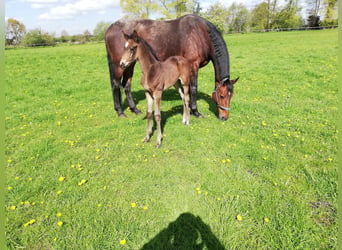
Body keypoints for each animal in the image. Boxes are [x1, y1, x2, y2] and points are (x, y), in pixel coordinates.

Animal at [105, 13, 239, 121]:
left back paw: (135, 110)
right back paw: (120, 112)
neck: (200, 33)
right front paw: (195, 111)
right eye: (221, 96)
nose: (224, 117)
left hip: (129, 64)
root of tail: (110, 28)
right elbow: (193, 88)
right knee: (116, 84)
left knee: (126, 85)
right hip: (119, 65)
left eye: (231, 95)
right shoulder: (193, 65)